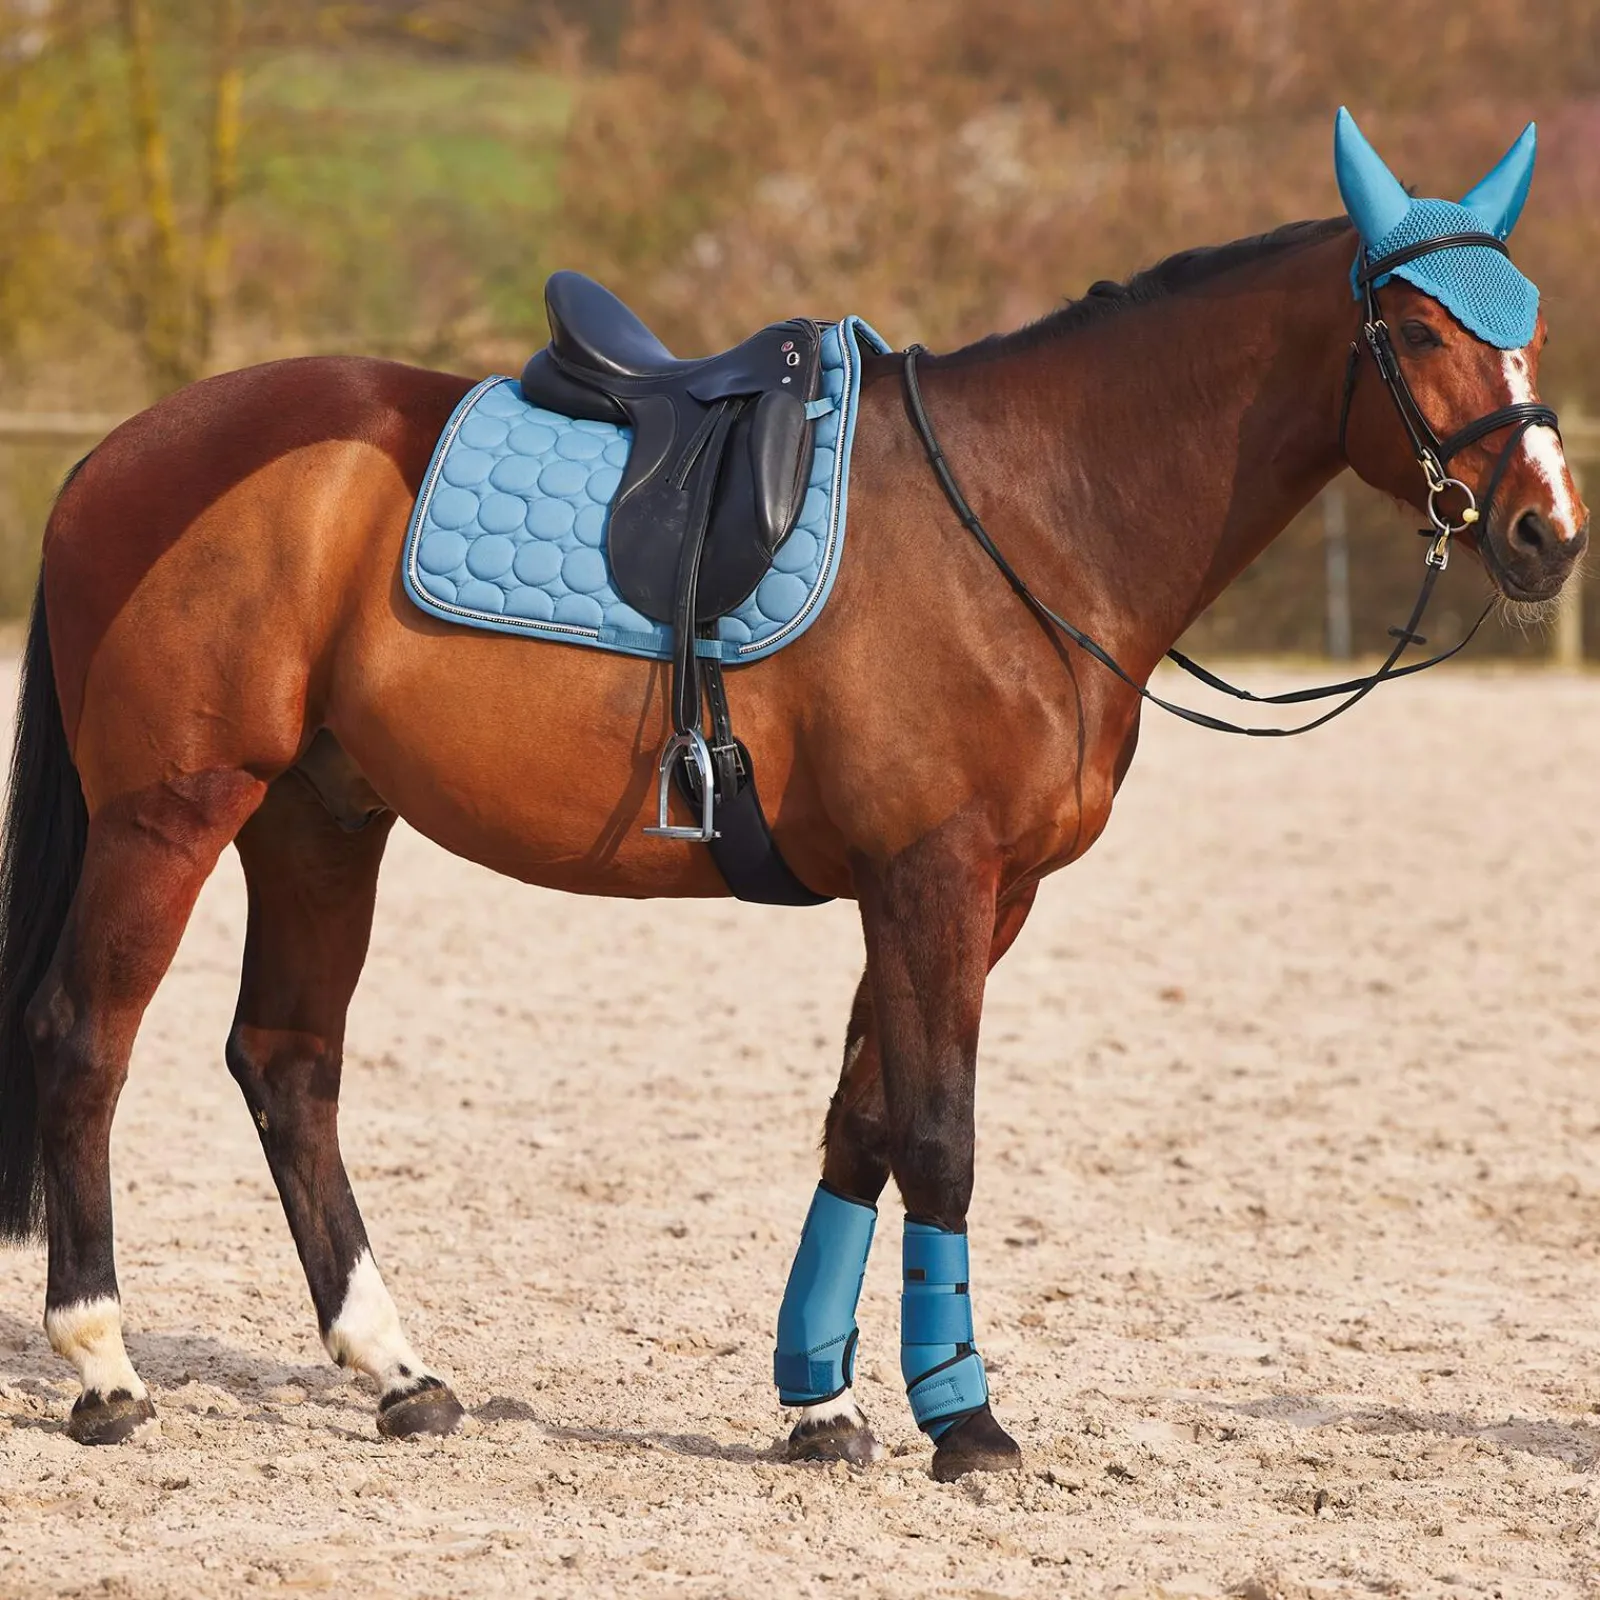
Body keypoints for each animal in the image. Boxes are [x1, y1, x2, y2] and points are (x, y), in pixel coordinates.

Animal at [0, 112, 1586, 1481]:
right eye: (1422, 328)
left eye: (1529, 321)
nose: (1546, 533)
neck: (1027, 514)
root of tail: (123, 451)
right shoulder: (934, 874)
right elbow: (938, 1135)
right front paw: (966, 1419)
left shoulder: (974, 893)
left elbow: (863, 1125)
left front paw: (821, 1401)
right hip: (174, 812)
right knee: (83, 1045)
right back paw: (105, 1371)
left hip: (319, 821)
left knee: (287, 1064)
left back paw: (397, 1371)